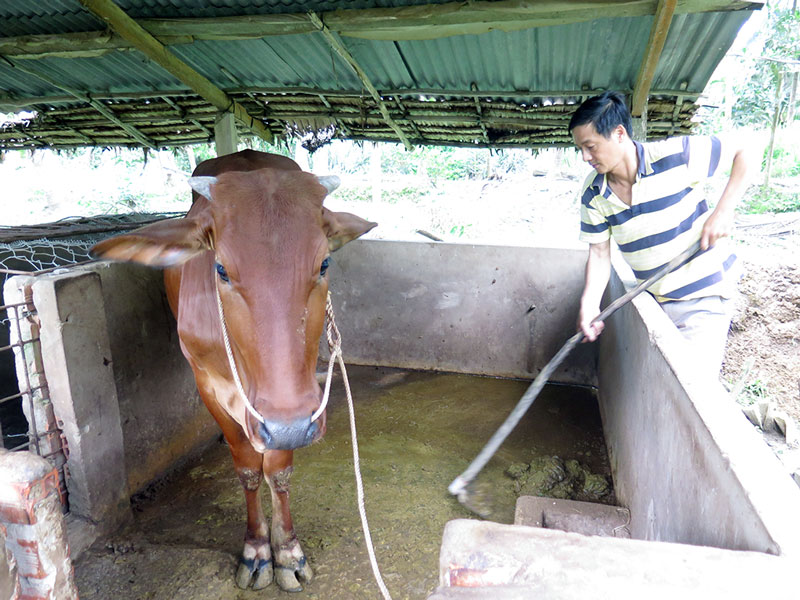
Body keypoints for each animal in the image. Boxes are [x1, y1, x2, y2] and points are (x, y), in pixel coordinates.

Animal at [92, 150, 380, 592]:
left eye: (324, 263)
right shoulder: (209, 384)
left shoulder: (290, 408)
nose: (289, 426)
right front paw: (257, 551)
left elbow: (278, 471)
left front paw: (287, 551)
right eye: (222, 269)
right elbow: (247, 468)